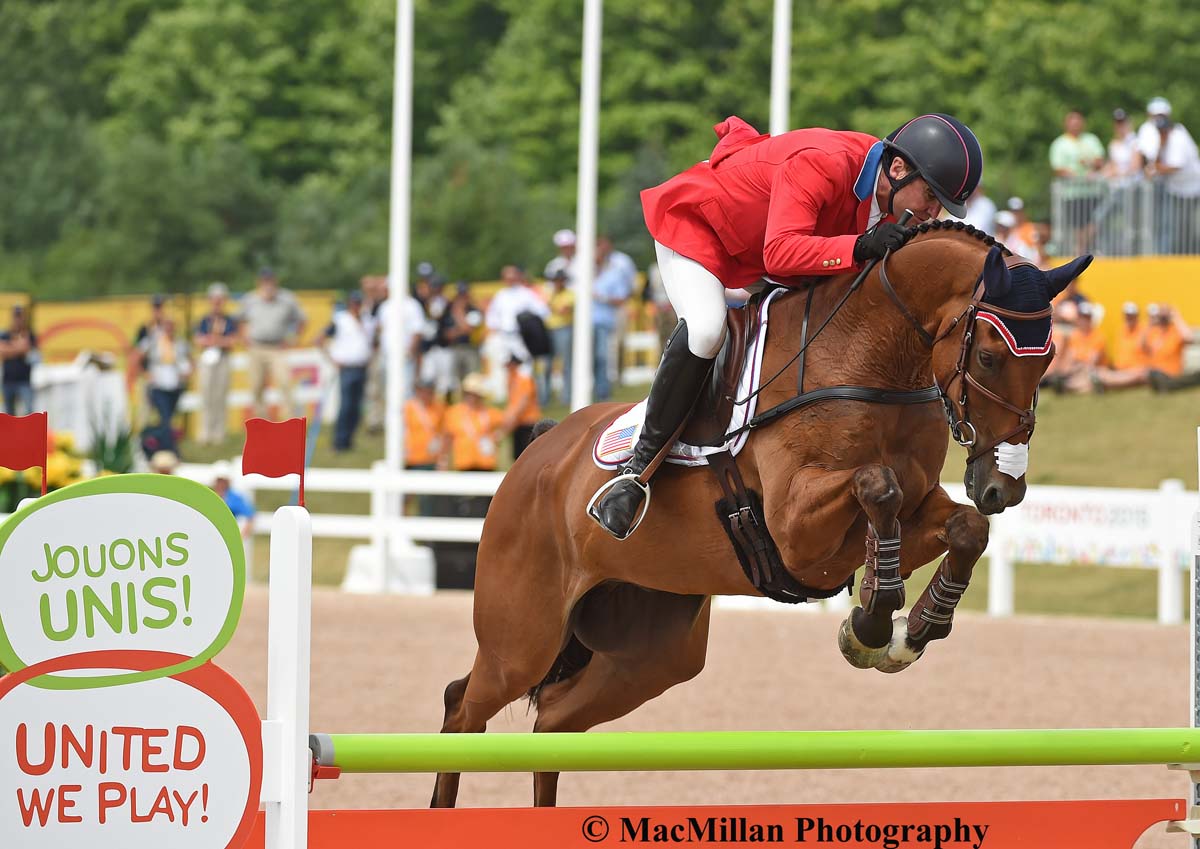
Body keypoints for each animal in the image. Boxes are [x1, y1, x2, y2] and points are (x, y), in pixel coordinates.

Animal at [436, 220, 1094, 810]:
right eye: (987, 356)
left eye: (1048, 361)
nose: (1004, 486)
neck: (875, 359)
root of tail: (536, 450)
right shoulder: (799, 530)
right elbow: (875, 486)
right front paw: (874, 619)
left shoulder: (911, 507)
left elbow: (964, 527)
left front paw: (917, 625)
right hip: (522, 636)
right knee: (463, 706)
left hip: (651, 652)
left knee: (552, 724)